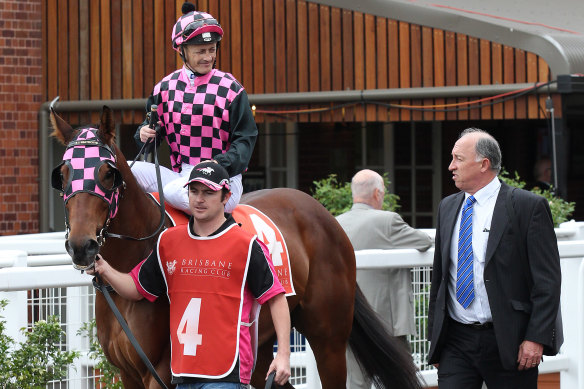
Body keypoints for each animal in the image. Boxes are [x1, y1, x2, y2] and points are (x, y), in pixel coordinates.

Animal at [49, 106, 420, 388]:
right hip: (260, 345)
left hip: (328, 338)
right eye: (64, 174)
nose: (81, 246)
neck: (132, 264)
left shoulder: (164, 370)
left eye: (107, 173)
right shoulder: (127, 372)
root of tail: (325, 216)